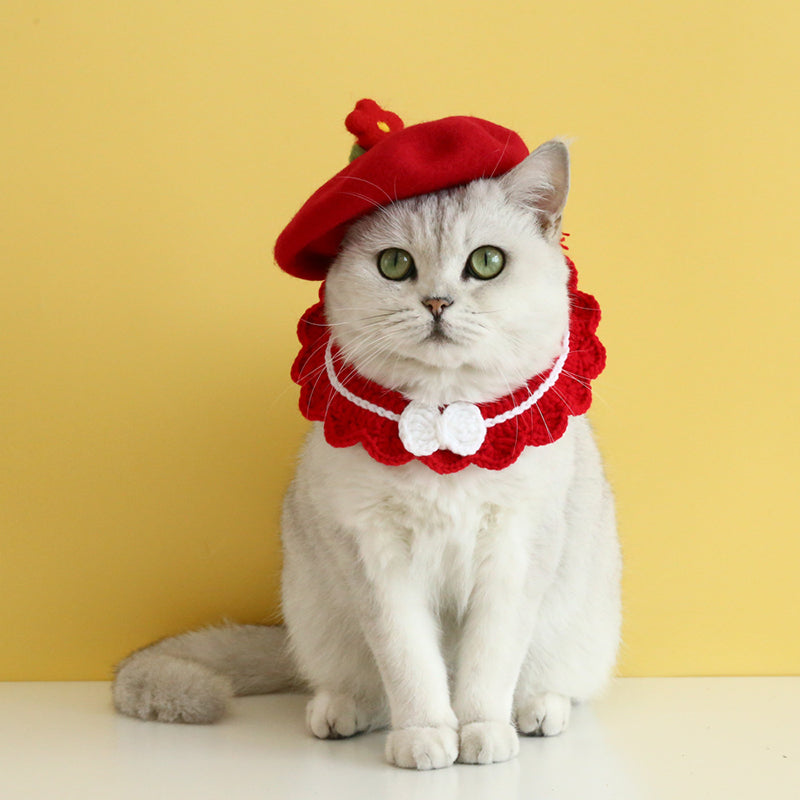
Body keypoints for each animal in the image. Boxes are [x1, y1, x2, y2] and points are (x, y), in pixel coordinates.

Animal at [114, 138, 624, 768]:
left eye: (486, 262)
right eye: (395, 265)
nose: (437, 302)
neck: (442, 422)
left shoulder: (515, 549)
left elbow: (487, 666)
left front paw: (480, 733)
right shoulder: (376, 555)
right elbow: (410, 664)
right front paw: (426, 737)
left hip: (576, 624)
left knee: (548, 683)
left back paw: (535, 713)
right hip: (318, 613)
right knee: (362, 689)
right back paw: (338, 714)